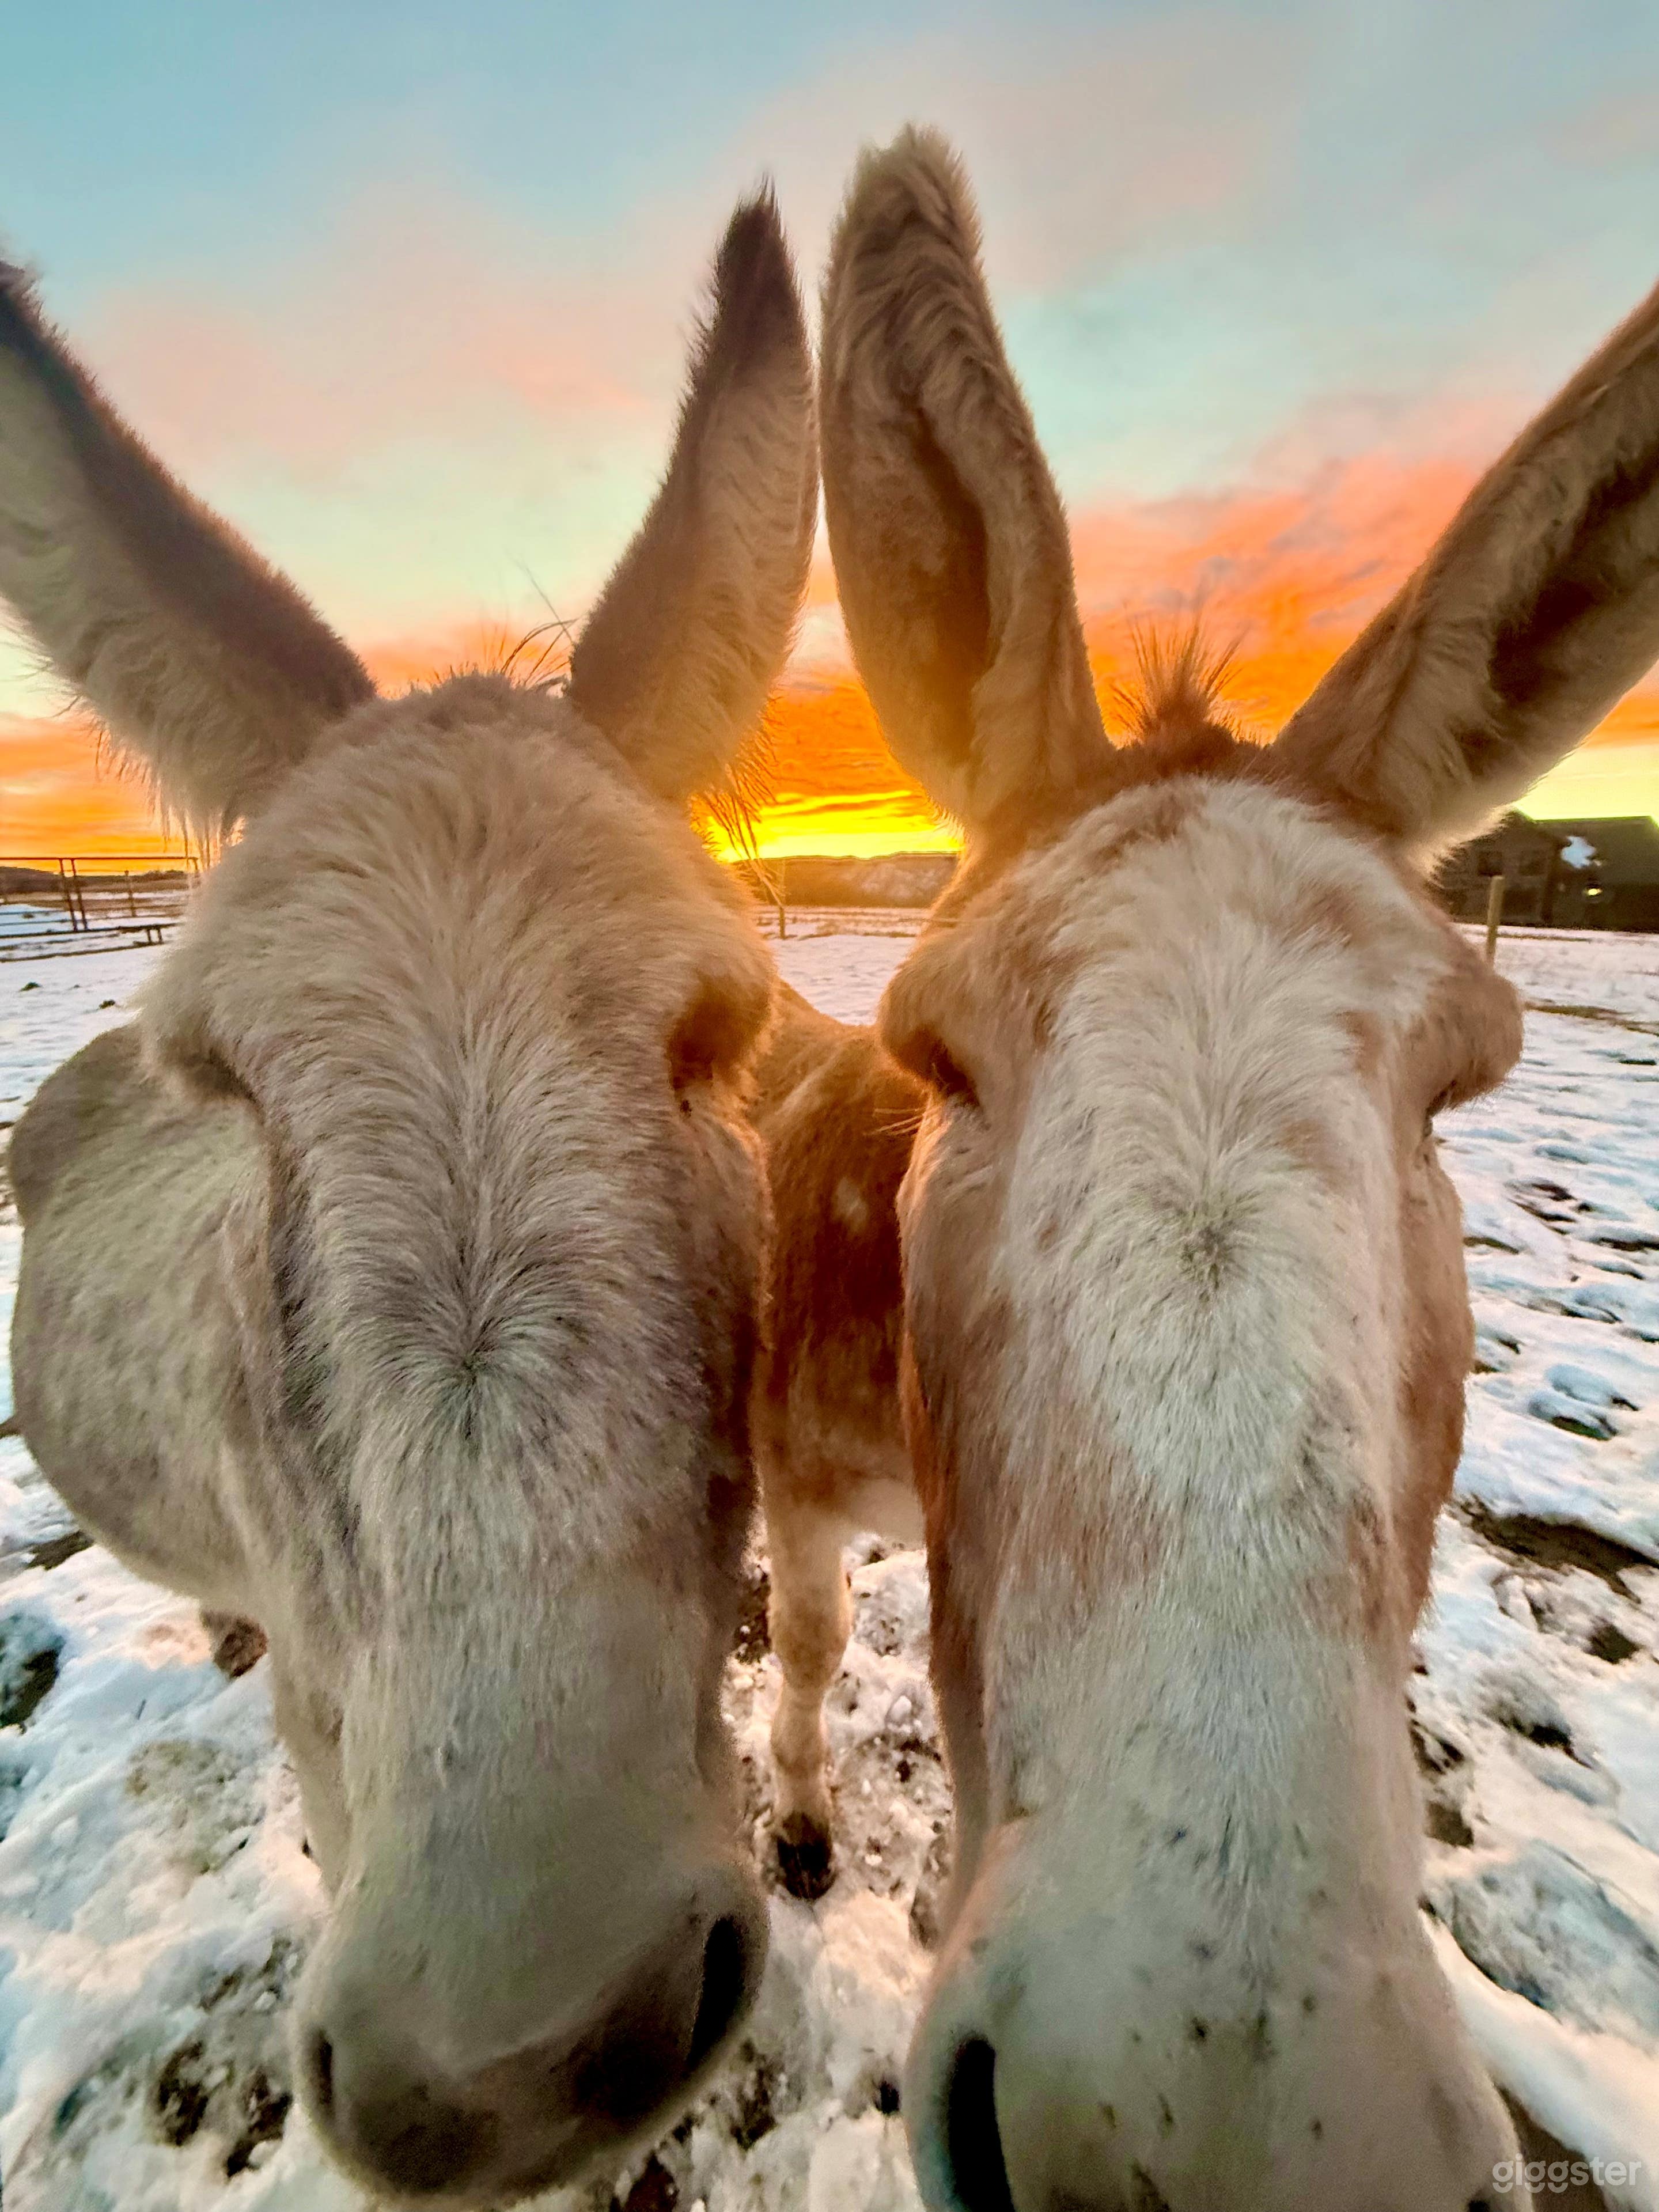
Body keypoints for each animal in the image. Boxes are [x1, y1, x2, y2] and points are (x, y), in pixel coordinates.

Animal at [759, 126, 1659, 2210]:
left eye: (1458, 1088)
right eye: (943, 1053)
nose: (1221, 2131)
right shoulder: (797, 1489)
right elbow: (816, 1644)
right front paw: (799, 1832)